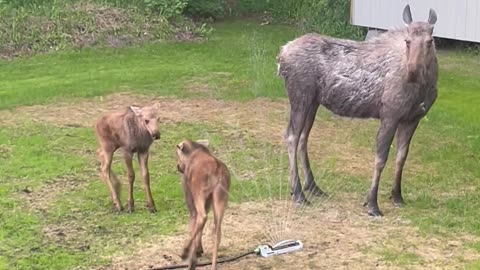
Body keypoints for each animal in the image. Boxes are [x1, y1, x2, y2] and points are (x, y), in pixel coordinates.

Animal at [176, 140, 231, 270]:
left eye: (177, 152)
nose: (178, 166)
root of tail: (217, 170)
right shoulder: (209, 203)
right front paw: (198, 250)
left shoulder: (189, 199)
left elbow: (192, 223)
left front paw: (193, 255)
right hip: (220, 197)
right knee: (216, 231)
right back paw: (212, 265)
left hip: (199, 193)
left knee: (202, 217)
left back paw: (185, 252)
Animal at [278, 4, 438, 216]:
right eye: (407, 40)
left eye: (430, 41)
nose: (413, 72)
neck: (424, 88)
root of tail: (282, 54)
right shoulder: (390, 115)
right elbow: (380, 159)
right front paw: (372, 203)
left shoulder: (412, 119)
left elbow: (401, 157)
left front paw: (397, 195)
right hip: (300, 97)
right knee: (291, 136)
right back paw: (298, 193)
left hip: (313, 102)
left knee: (303, 137)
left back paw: (312, 186)